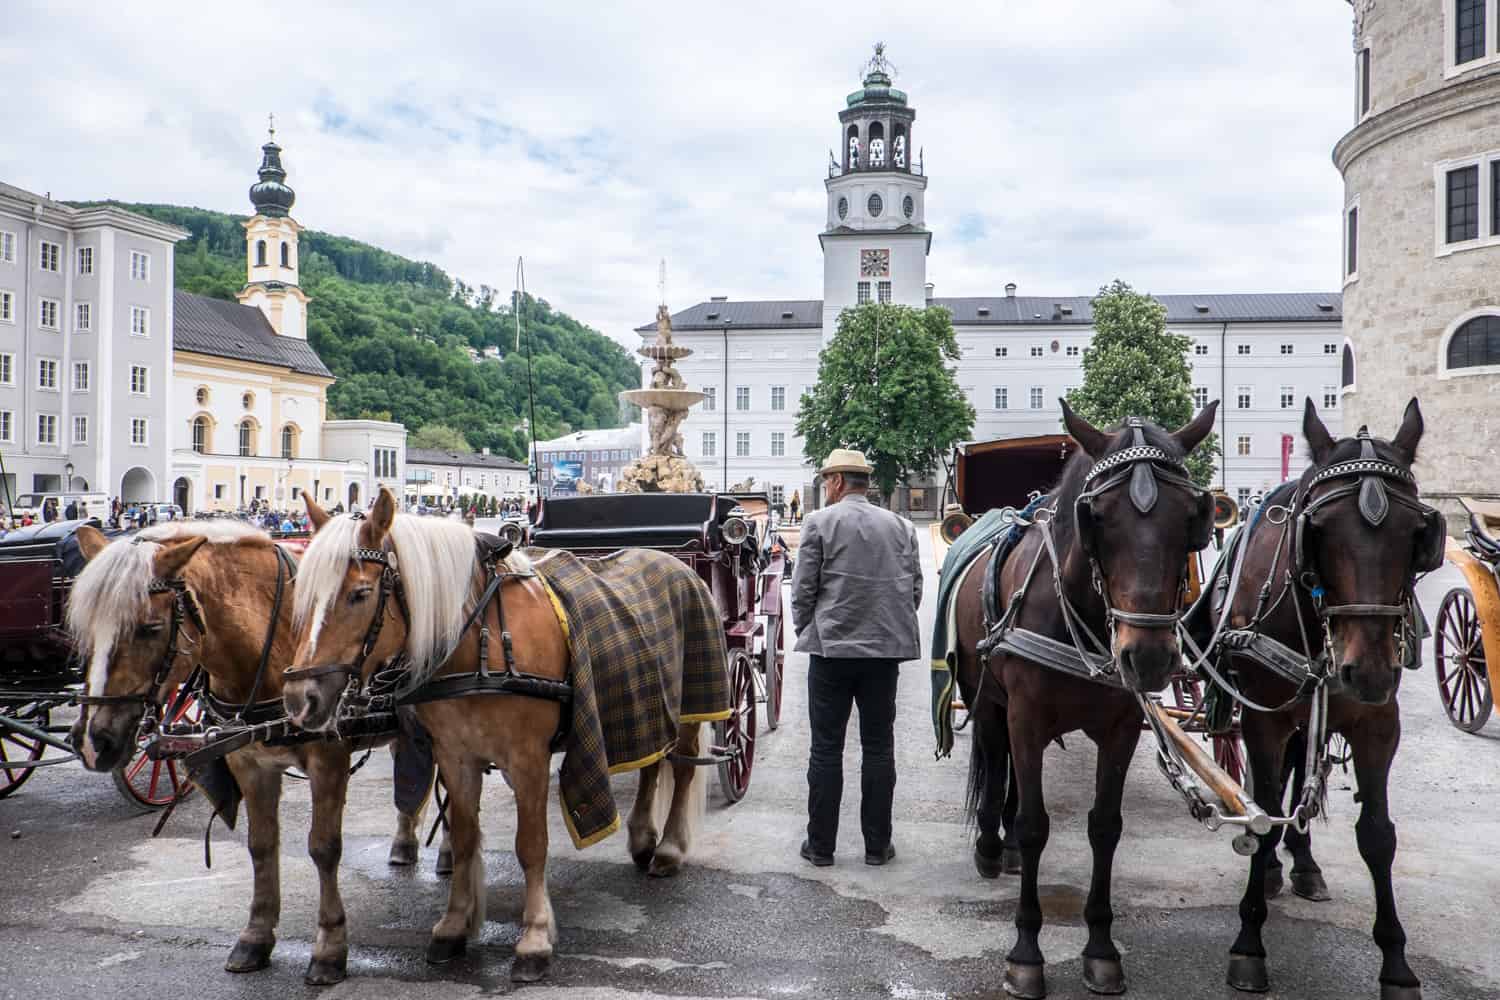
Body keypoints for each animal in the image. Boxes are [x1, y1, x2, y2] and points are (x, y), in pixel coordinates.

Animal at [66, 524, 438, 983]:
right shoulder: (249, 763)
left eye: (150, 628)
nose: (93, 740)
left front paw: (330, 946)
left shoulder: (328, 761)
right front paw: (256, 936)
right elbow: (260, 846)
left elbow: (323, 848)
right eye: (85, 630)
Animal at [282, 491, 714, 983]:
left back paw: (670, 849)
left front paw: (535, 937)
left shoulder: (528, 759)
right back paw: (643, 837)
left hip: (690, 708)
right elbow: (467, 838)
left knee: (681, 769)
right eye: (301, 592)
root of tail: (674, 562)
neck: (481, 644)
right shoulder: (456, 756)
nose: (299, 699)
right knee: (651, 762)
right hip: (646, 707)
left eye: (360, 593)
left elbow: (531, 845)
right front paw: (454, 925)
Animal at [954, 401, 1224, 1000]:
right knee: (995, 754)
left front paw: (1101, 948)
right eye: (1097, 518)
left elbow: (1105, 826)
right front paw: (1026, 953)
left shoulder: (1120, 728)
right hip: (986, 696)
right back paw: (991, 844)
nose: (1147, 657)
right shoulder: (1026, 714)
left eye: (1190, 519)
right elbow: (1036, 824)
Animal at [1194, 401, 1440, 1000]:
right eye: (1320, 531)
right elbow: (1262, 814)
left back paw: (1303, 863)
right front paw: (1248, 944)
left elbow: (1377, 835)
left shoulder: (1379, 724)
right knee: (1281, 782)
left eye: (1416, 532)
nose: (1366, 669)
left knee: (1299, 774)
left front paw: (1396, 963)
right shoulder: (1261, 720)